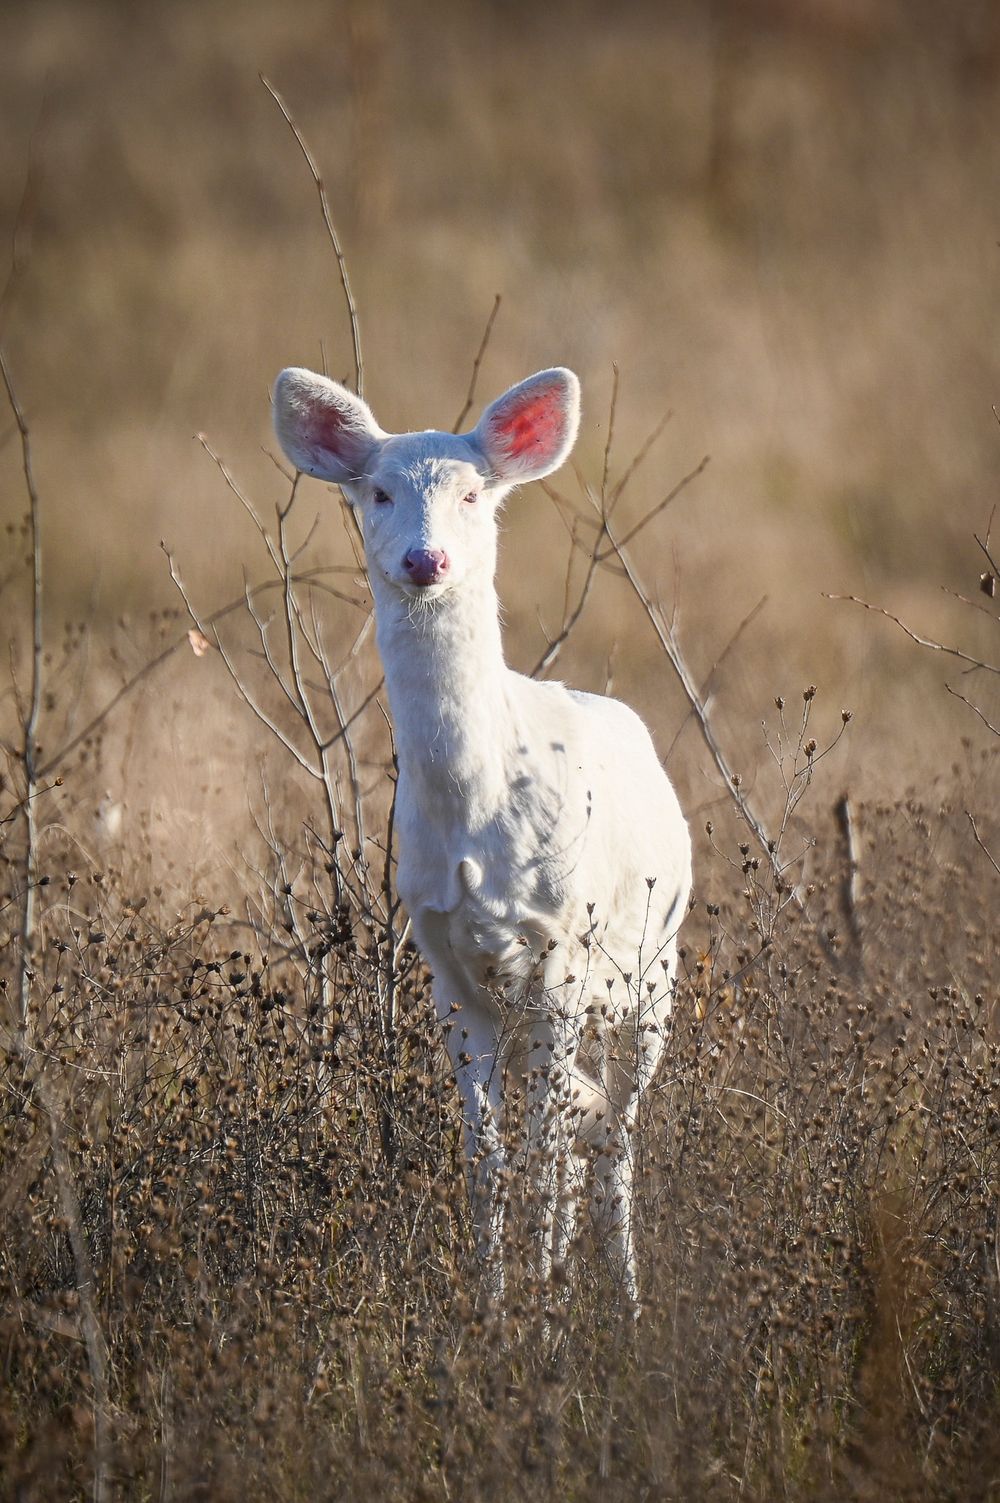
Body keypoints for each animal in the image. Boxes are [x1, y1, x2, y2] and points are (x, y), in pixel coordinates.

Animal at [272, 364, 692, 1310]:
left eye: (473, 492)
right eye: (378, 491)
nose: (426, 560)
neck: (475, 810)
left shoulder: (562, 946)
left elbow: (546, 1147)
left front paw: (544, 1312)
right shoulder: (444, 961)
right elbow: (486, 1155)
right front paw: (495, 1307)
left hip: (653, 967)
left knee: (616, 1134)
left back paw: (625, 1299)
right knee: (582, 1122)